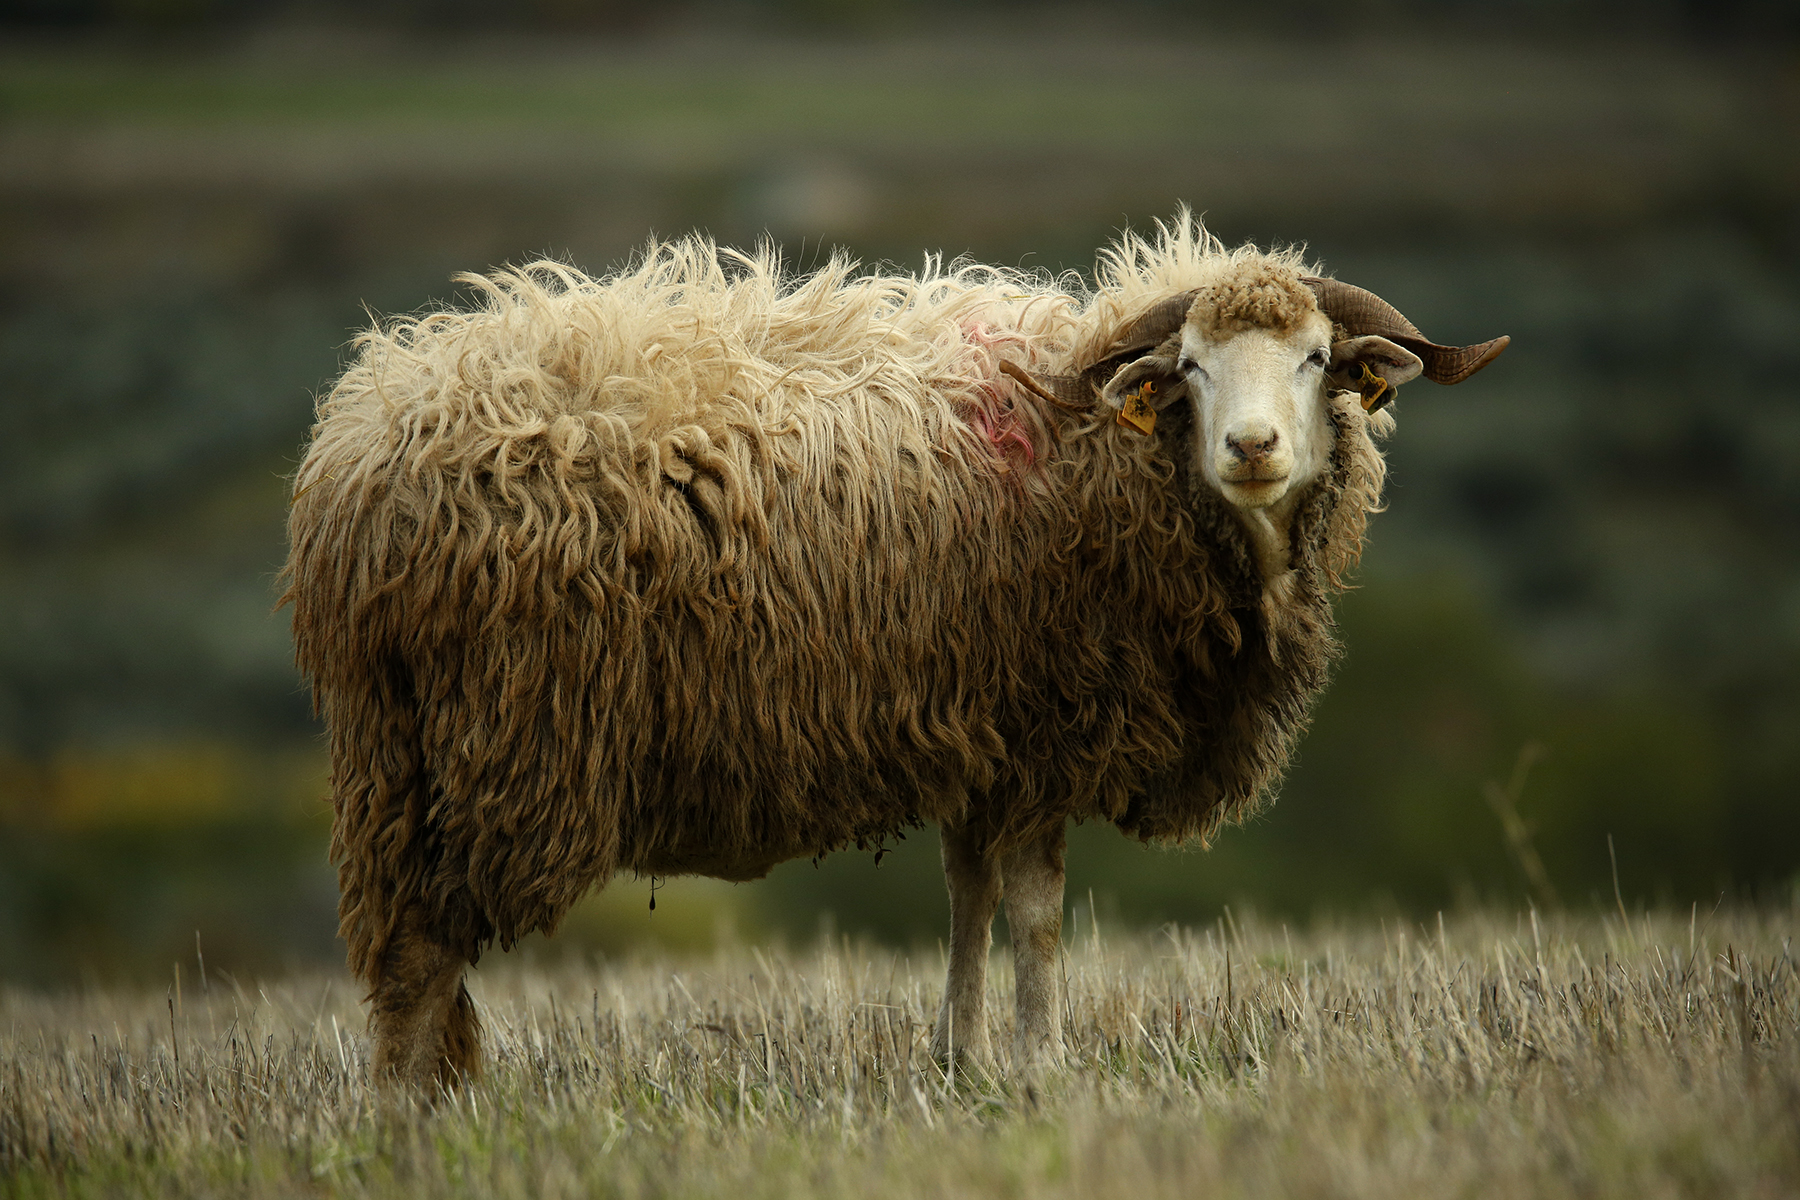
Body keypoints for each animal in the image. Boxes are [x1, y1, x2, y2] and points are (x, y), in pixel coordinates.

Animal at [283, 212, 1508, 1091]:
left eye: (1316, 358)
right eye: (1193, 368)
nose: (1252, 449)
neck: (1113, 463)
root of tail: (357, 454)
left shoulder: (981, 736)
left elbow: (969, 899)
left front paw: (962, 1062)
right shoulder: (1045, 730)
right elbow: (1036, 917)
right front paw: (1041, 1069)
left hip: (395, 749)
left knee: (399, 948)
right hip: (497, 734)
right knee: (421, 946)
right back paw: (407, 1121)